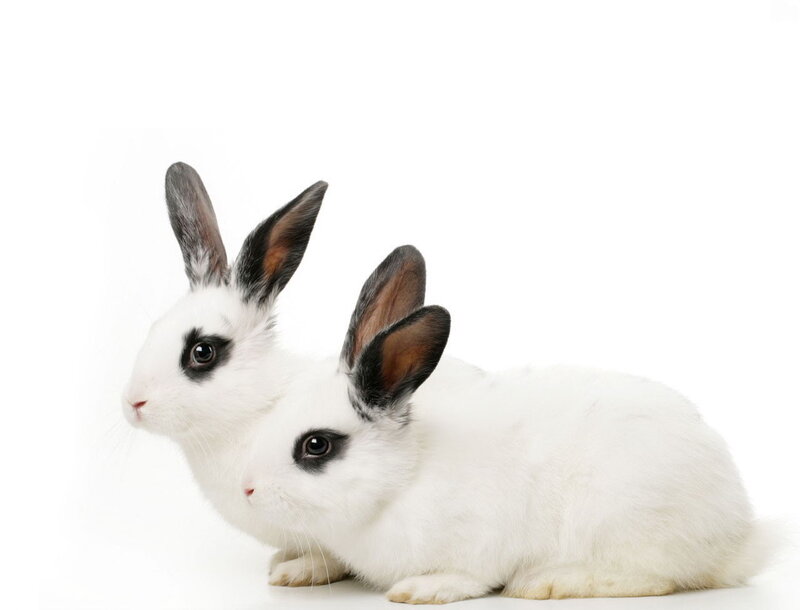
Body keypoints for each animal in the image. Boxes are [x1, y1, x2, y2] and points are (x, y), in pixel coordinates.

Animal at [122, 162, 352, 586]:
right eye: (154, 328)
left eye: (203, 352)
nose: (133, 403)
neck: (257, 406)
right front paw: (280, 561)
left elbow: (331, 558)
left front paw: (293, 573)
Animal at [241, 247, 771, 604]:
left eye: (316, 445)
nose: (247, 489)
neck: (400, 482)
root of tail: (738, 534)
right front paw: (295, 570)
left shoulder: (478, 542)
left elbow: (467, 576)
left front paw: (424, 590)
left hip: (621, 521)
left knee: (653, 579)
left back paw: (547, 582)